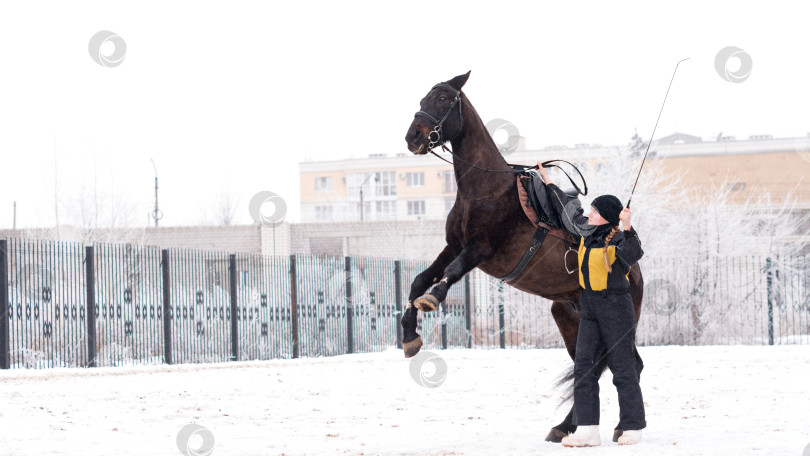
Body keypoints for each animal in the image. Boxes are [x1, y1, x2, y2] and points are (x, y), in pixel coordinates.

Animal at [400, 71, 644, 442]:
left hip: (618, 325)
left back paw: (619, 428)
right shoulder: (453, 244)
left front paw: (431, 301)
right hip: (569, 318)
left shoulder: (479, 249)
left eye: (443, 98)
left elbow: (448, 275)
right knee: (587, 367)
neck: (484, 189)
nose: (413, 136)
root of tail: (637, 273)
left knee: (627, 366)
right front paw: (409, 336)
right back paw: (565, 427)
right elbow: (419, 279)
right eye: (423, 98)